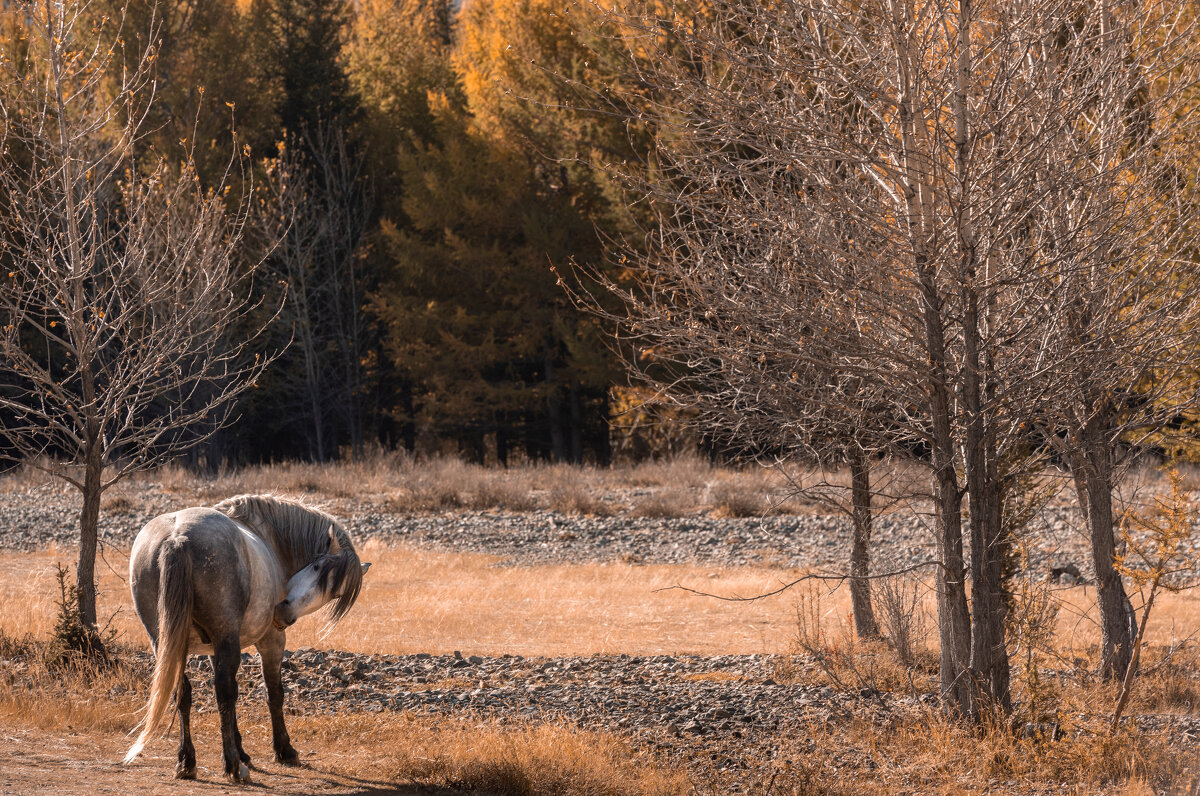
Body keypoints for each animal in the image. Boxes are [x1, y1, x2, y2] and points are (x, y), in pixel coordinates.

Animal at [122, 494, 367, 782]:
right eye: (317, 566)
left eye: (336, 593)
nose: (284, 614)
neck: (270, 538)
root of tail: (177, 538)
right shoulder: (270, 641)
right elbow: (273, 693)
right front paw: (284, 751)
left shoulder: (214, 648)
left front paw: (244, 752)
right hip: (223, 637)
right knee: (223, 692)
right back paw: (232, 766)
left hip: (165, 643)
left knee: (182, 692)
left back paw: (187, 762)